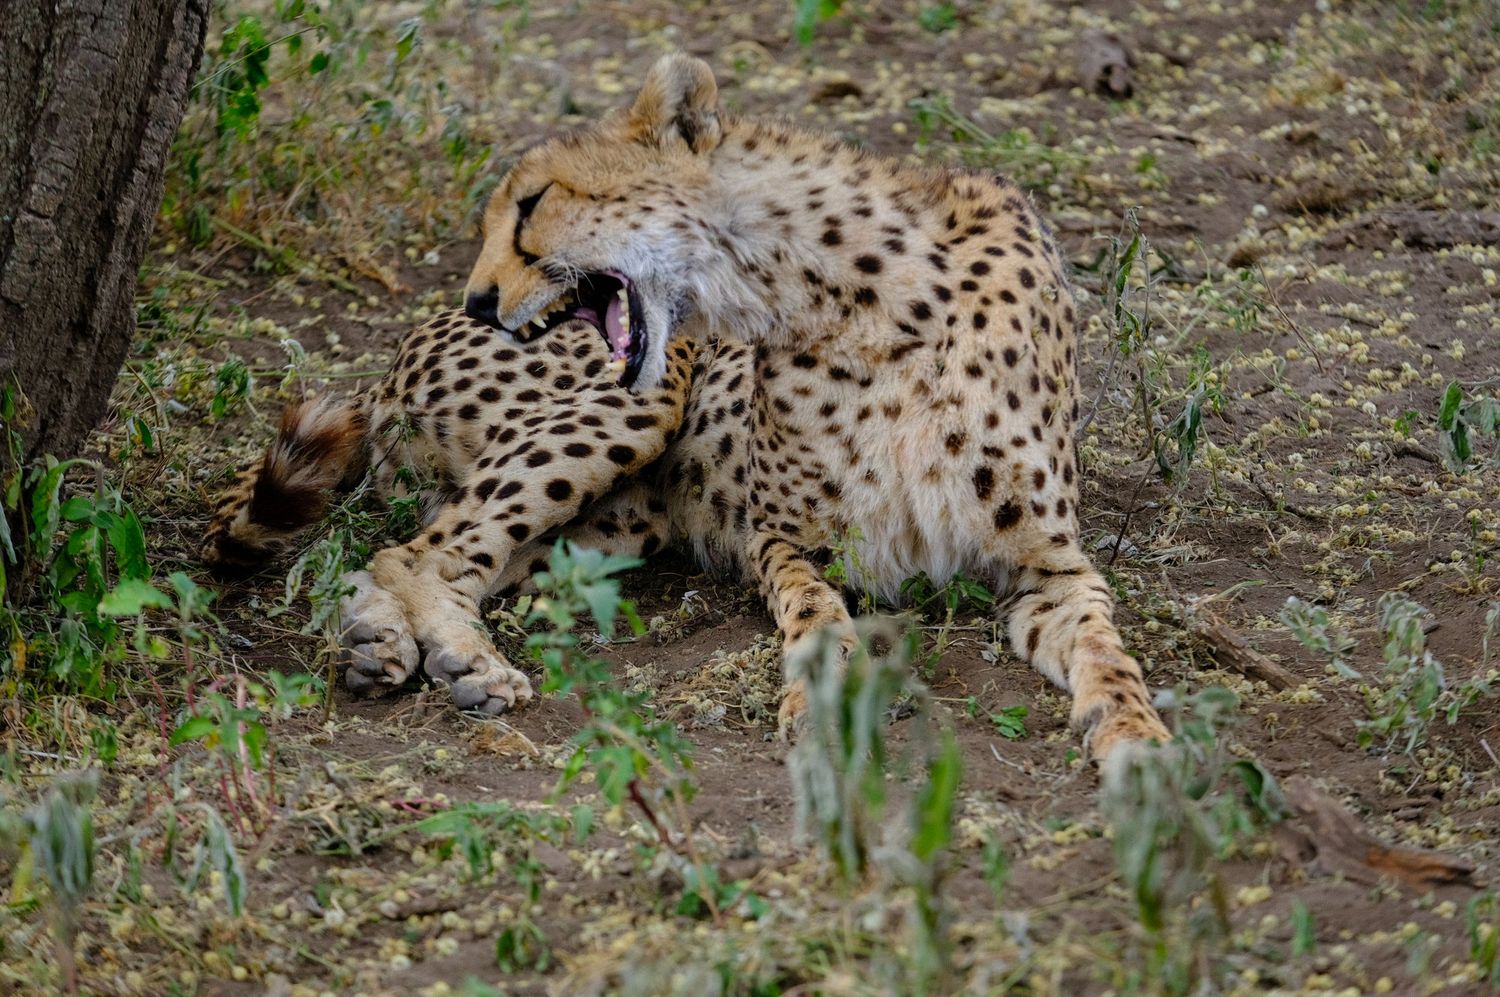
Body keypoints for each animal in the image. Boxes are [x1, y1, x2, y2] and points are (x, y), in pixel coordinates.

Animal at [204, 53, 1170, 760]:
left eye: (533, 201)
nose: (480, 300)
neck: (867, 296)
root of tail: (400, 350)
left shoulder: (1051, 567)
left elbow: (1107, 648)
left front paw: (1136, 735)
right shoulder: (779, 538)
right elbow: (817, 616)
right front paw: (821, 699)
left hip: (624, 515)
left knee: (426, 552)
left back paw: (392, 644)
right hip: (646, 402)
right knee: (415, 550)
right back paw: (459, 657)